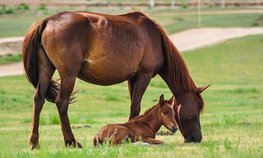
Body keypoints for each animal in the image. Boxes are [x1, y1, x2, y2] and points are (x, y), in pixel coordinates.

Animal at [22, 11, 210, 149]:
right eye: (196, 109)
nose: (197, 138)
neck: (155, 38)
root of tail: (47, 21)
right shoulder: (144, 75)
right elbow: (135, 106)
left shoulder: (132, 78)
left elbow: (134, 106)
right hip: (68, 74)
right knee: (62, 102)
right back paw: (71, 142)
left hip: (46, 70)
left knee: (38, 100)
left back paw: (34, 142)